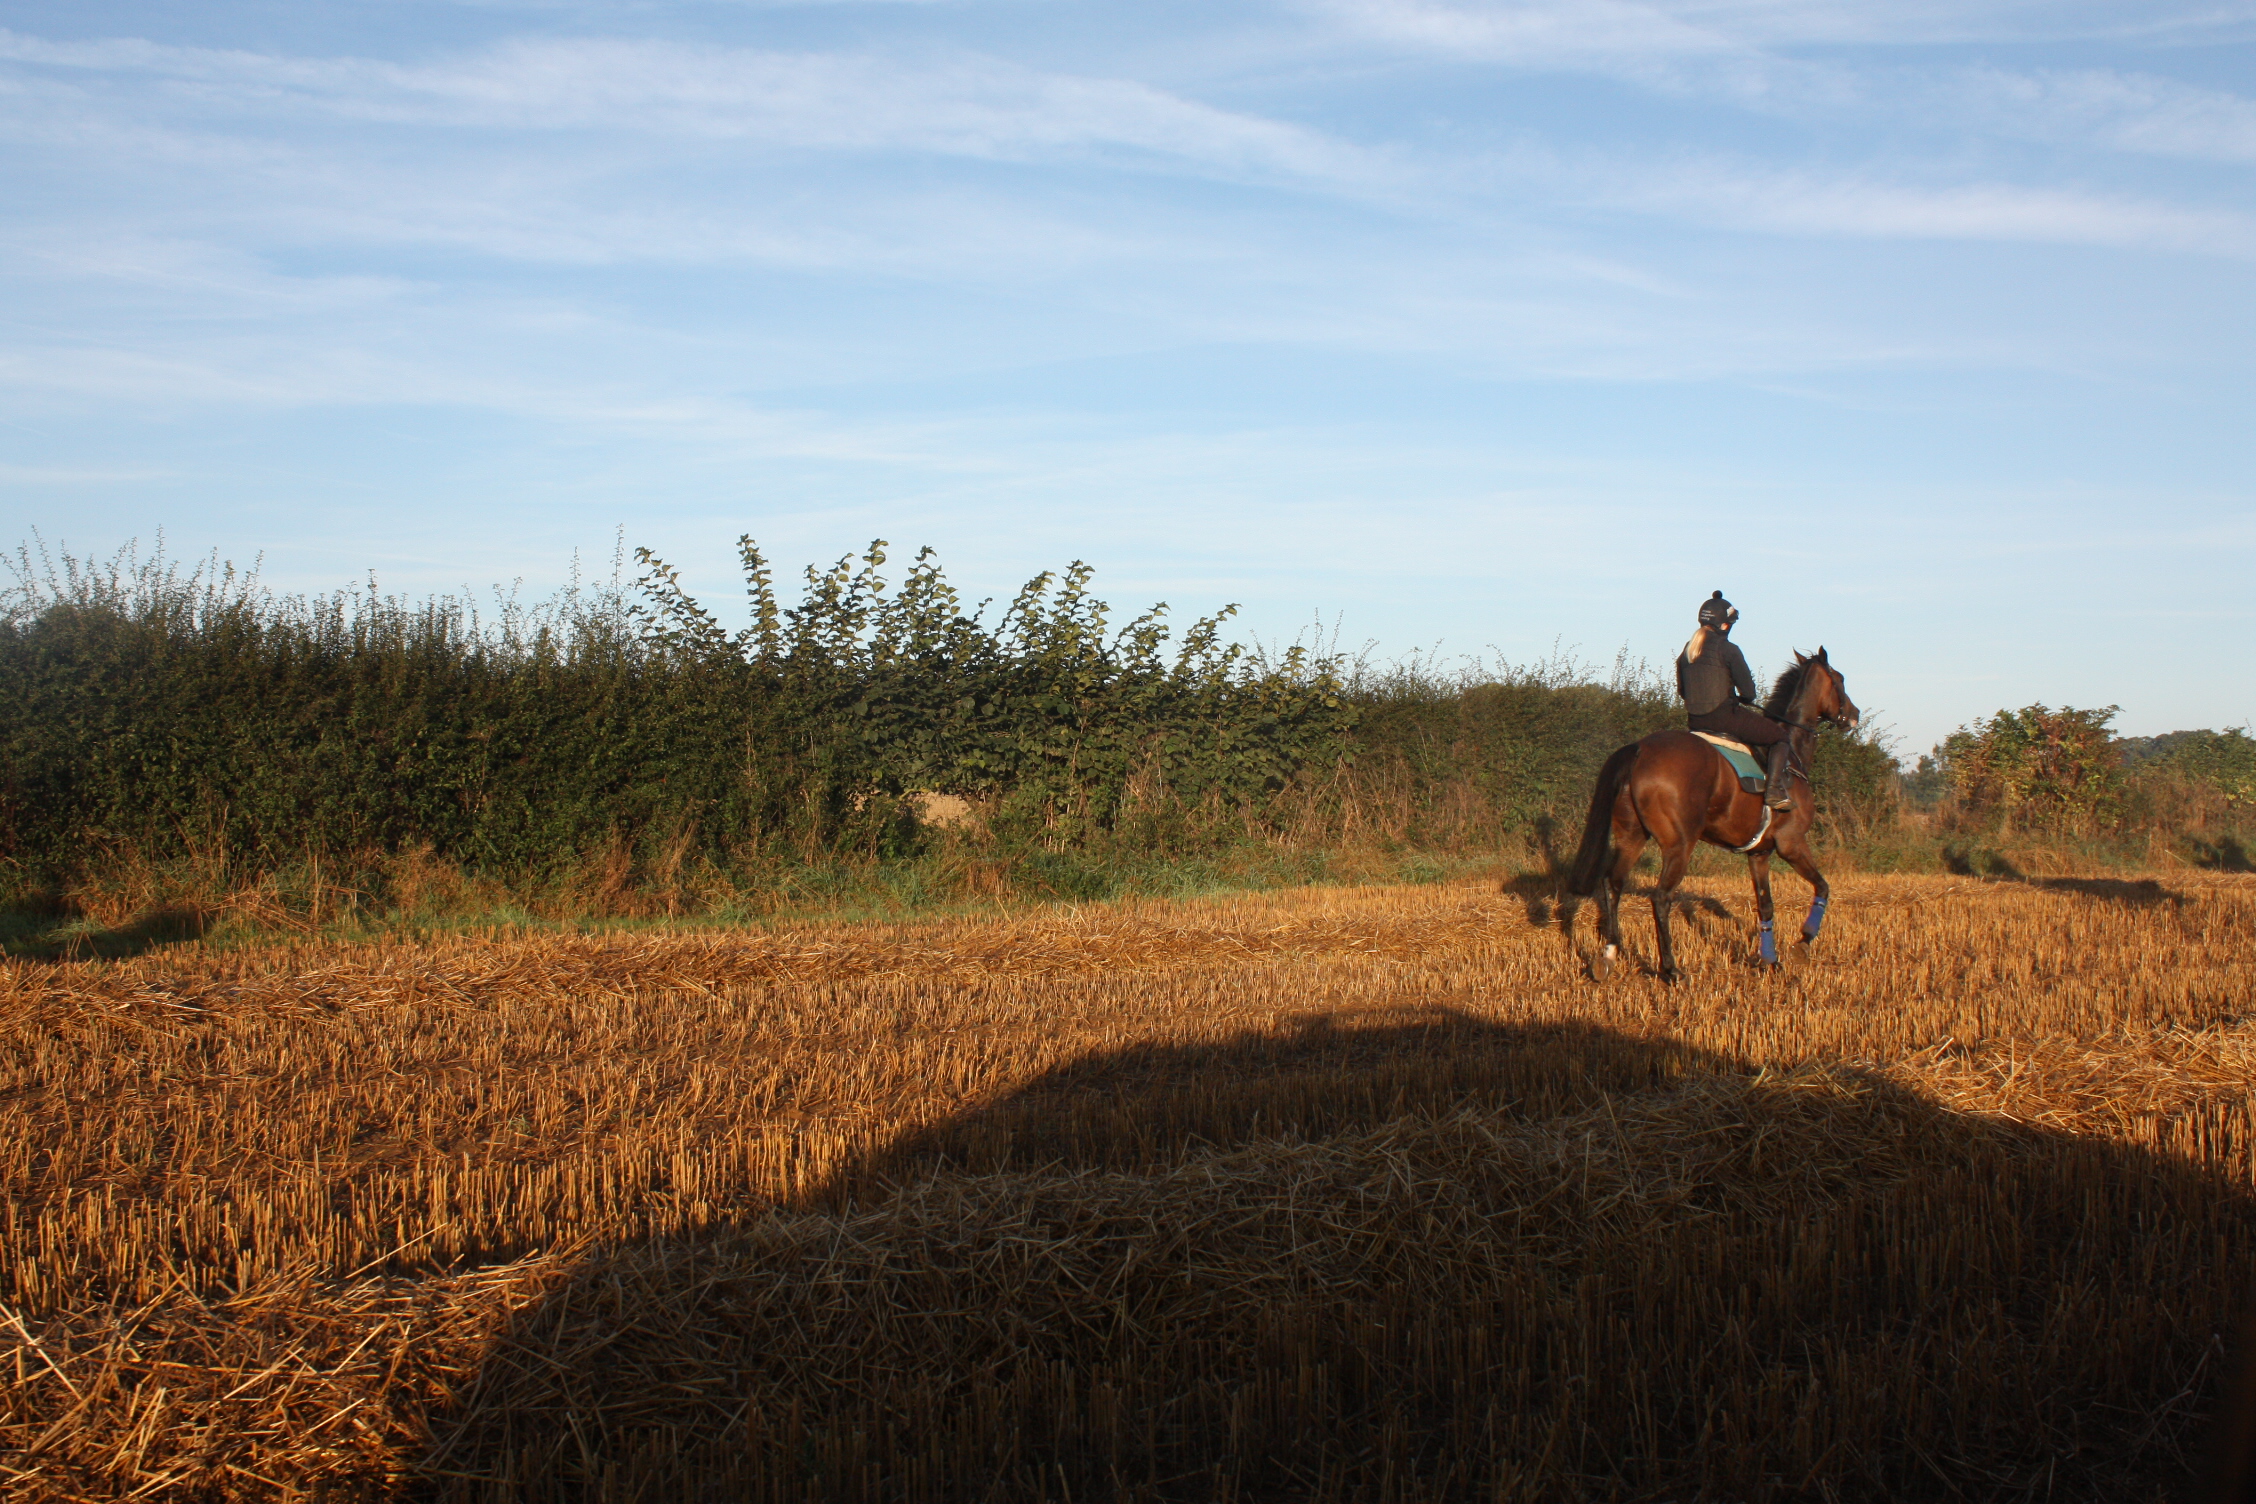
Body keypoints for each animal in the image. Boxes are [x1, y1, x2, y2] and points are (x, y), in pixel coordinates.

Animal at [1570, 649, 1867, 983]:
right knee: (1660, 897)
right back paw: (1671, 969)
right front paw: (1802, 944)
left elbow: (1766, 906)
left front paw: (1770, 960)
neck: (1791, 755)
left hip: (1632, 837)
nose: (1854, 714)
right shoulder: (1792, 844)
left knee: (1614, 884)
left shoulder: (1759, 854)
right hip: (1679, 845)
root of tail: (1639, 749)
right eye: (1839, 679)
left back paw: (1607, 957)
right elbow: (1823, 887)